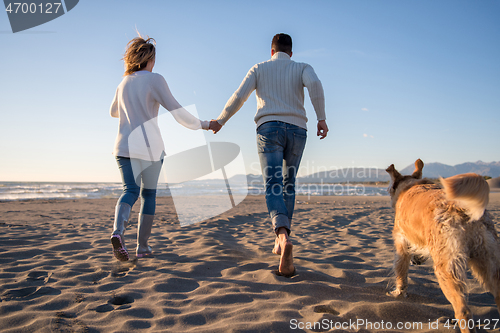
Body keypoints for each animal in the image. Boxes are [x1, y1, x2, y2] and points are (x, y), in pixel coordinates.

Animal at [386, 159, 496, 332]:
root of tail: (462, 208)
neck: (411, 186)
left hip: (446, 269)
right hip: (489, 262)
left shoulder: (401, 243)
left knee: (463, 311)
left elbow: (401, 274)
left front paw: (398, 293)